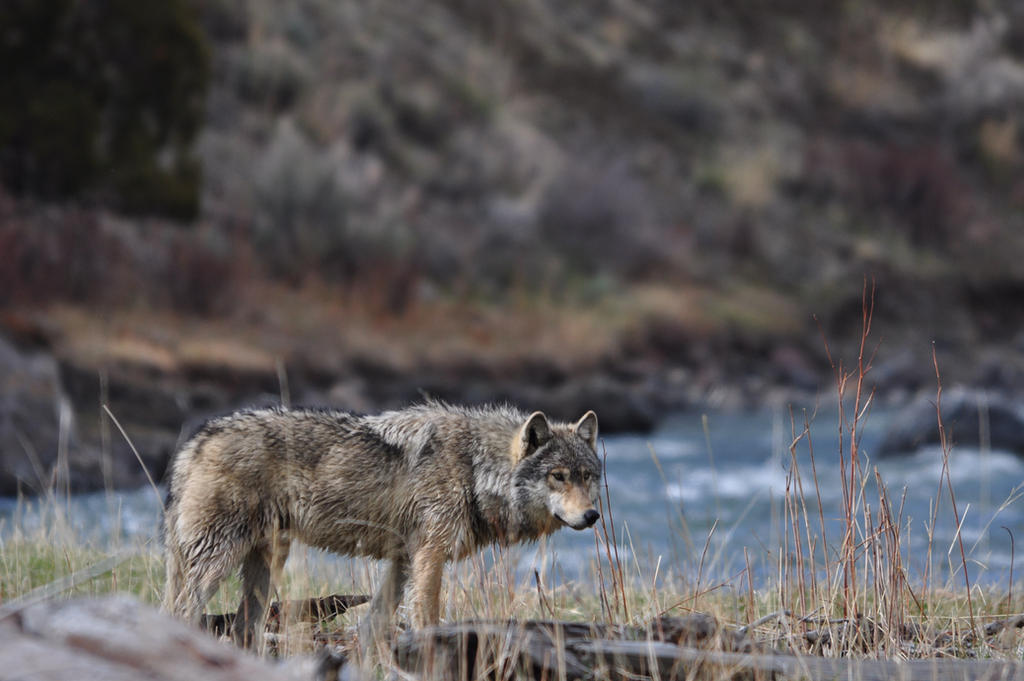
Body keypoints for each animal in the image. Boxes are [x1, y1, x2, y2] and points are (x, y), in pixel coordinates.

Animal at [161, 401, 598, 647]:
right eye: (558, 476)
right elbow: (426, 618)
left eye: (588, 476)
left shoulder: (403, 560)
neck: (475, 468)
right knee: (180, 613)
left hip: (263, 567)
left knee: (240, 629)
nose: (592, 516)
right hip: (216, 562)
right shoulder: (429, 556)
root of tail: (195, 443)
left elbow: (374, 625)